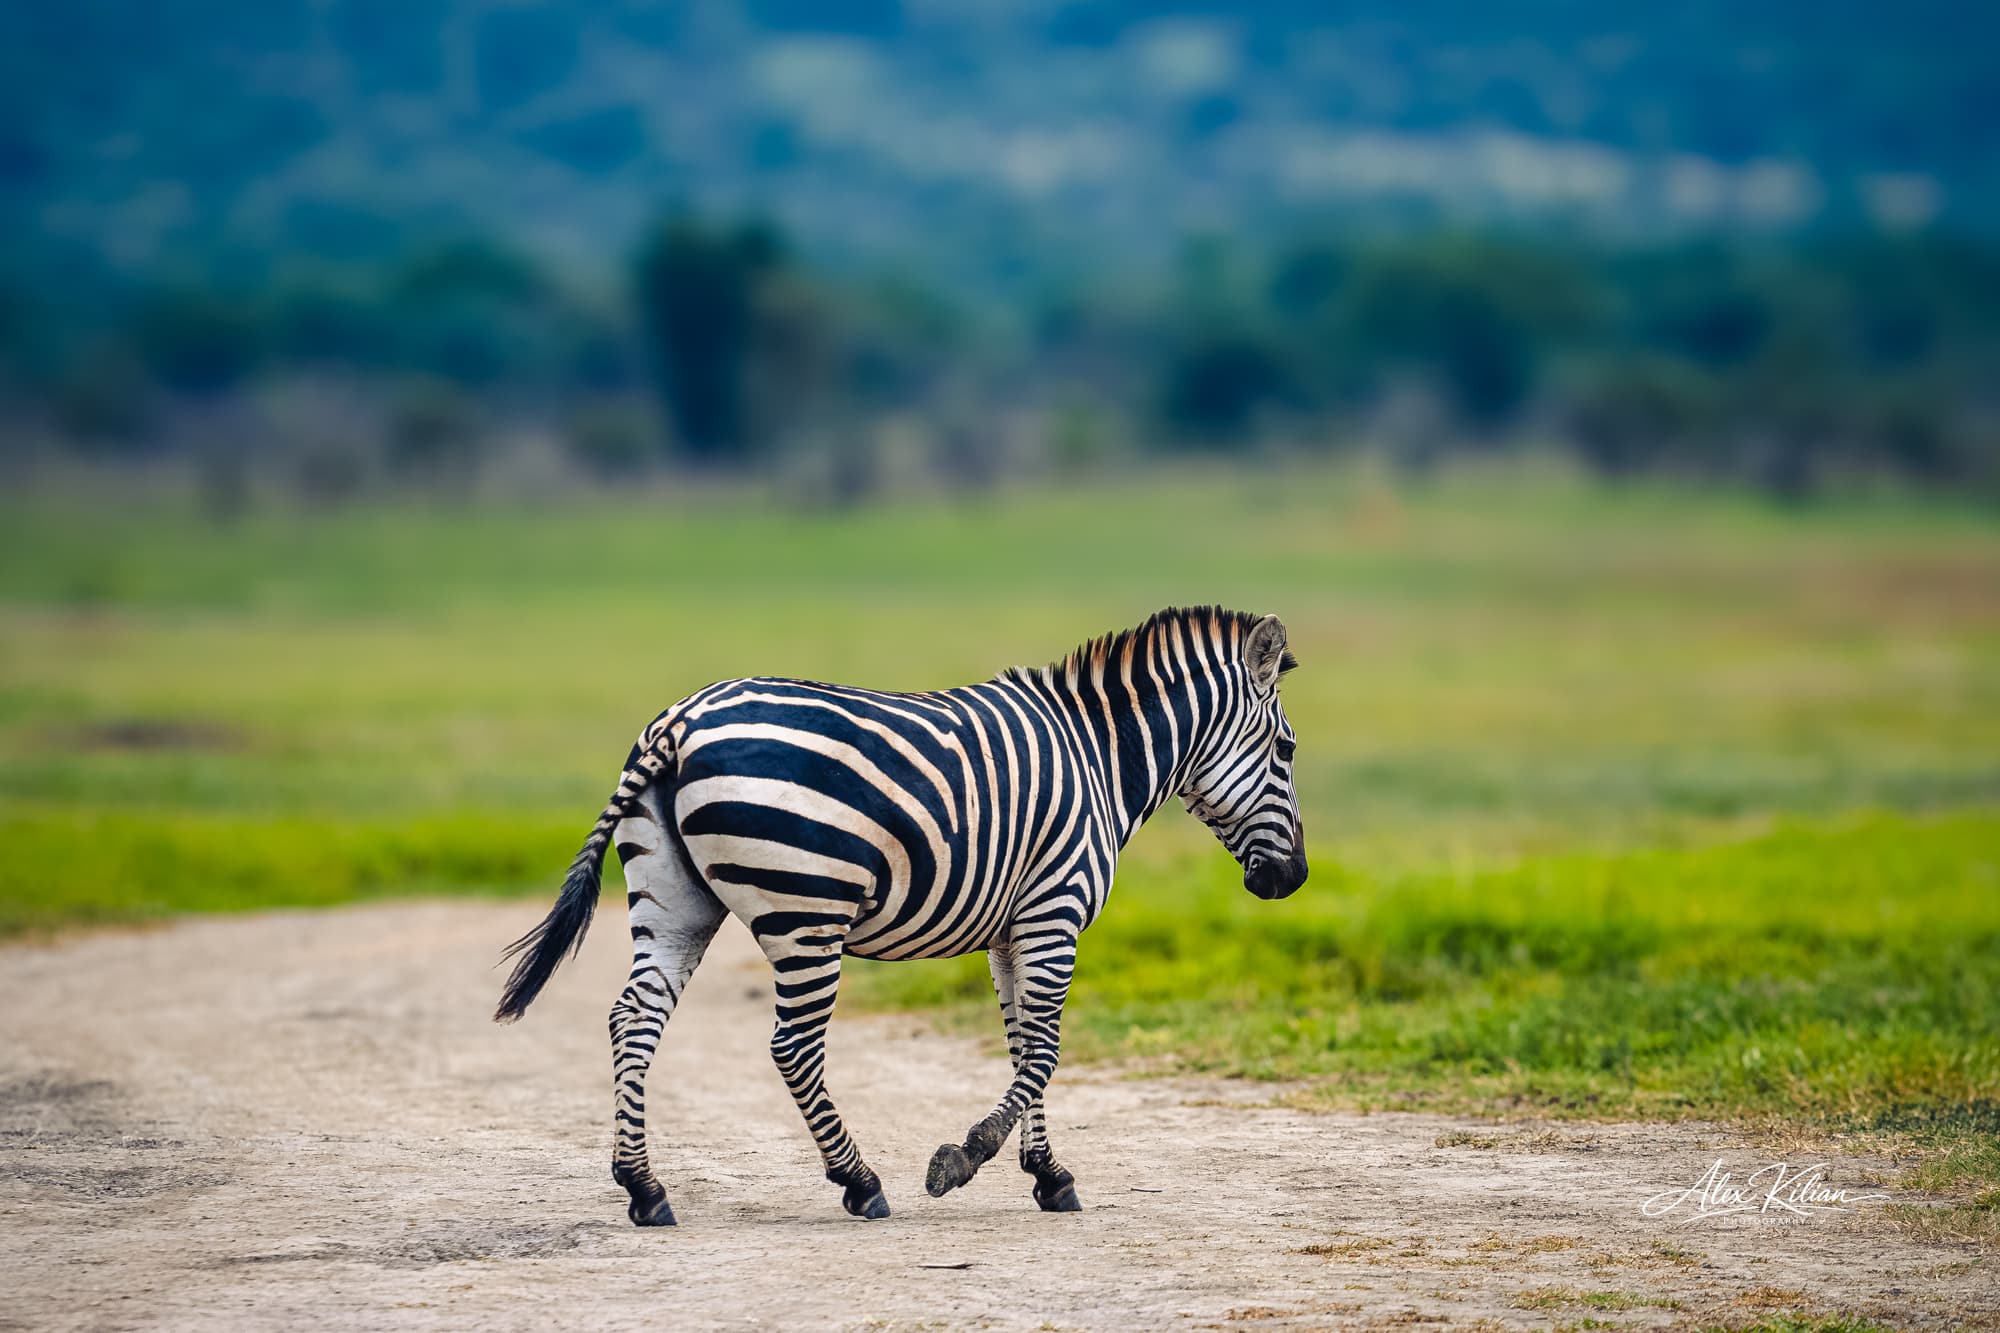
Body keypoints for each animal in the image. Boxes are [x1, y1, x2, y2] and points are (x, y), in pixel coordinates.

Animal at [494, 605, 1306, 1225]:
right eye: (1288, 749)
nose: (1292, 879)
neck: (1101, 758)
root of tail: (679, 723)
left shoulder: (1011, 929)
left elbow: (1022, 1045)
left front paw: (1047, 1172)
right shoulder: (1055, 909)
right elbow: (1045, 1048)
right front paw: (964, 1158)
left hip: (675, 901)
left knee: (633, 1018)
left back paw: (645, 1188)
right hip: (807, 912)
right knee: (792, 1047)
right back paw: (861, 1183)